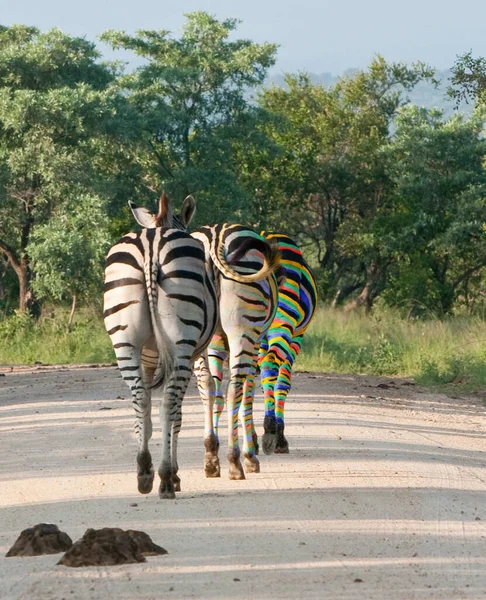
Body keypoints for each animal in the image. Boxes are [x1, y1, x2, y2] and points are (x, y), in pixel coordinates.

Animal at [104, 213, 218, 500]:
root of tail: (151, 244)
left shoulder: (147, 358)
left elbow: (143, 411)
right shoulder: (188, 356)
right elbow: (177, 415)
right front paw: (175, 475)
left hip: (124, 341)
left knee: (140, 398)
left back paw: (144, 470)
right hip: (182, 345)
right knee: (168, 403)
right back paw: (165, 478)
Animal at [129, 195, 280, 480]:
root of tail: (214, 238)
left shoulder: (206, 341)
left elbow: (210, 391)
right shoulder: (251, 340)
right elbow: (246, 392)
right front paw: (250, 455)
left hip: (195, 333)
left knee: (206, 386)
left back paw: (210, 456)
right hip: (242, 330)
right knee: (234, 389)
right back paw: (235, 461)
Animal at [256, 233, 318, 454]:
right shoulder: (297, 336)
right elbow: (283, 382)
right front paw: (279, 435)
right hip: (284, 326)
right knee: (271, 366)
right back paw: (271, 432)